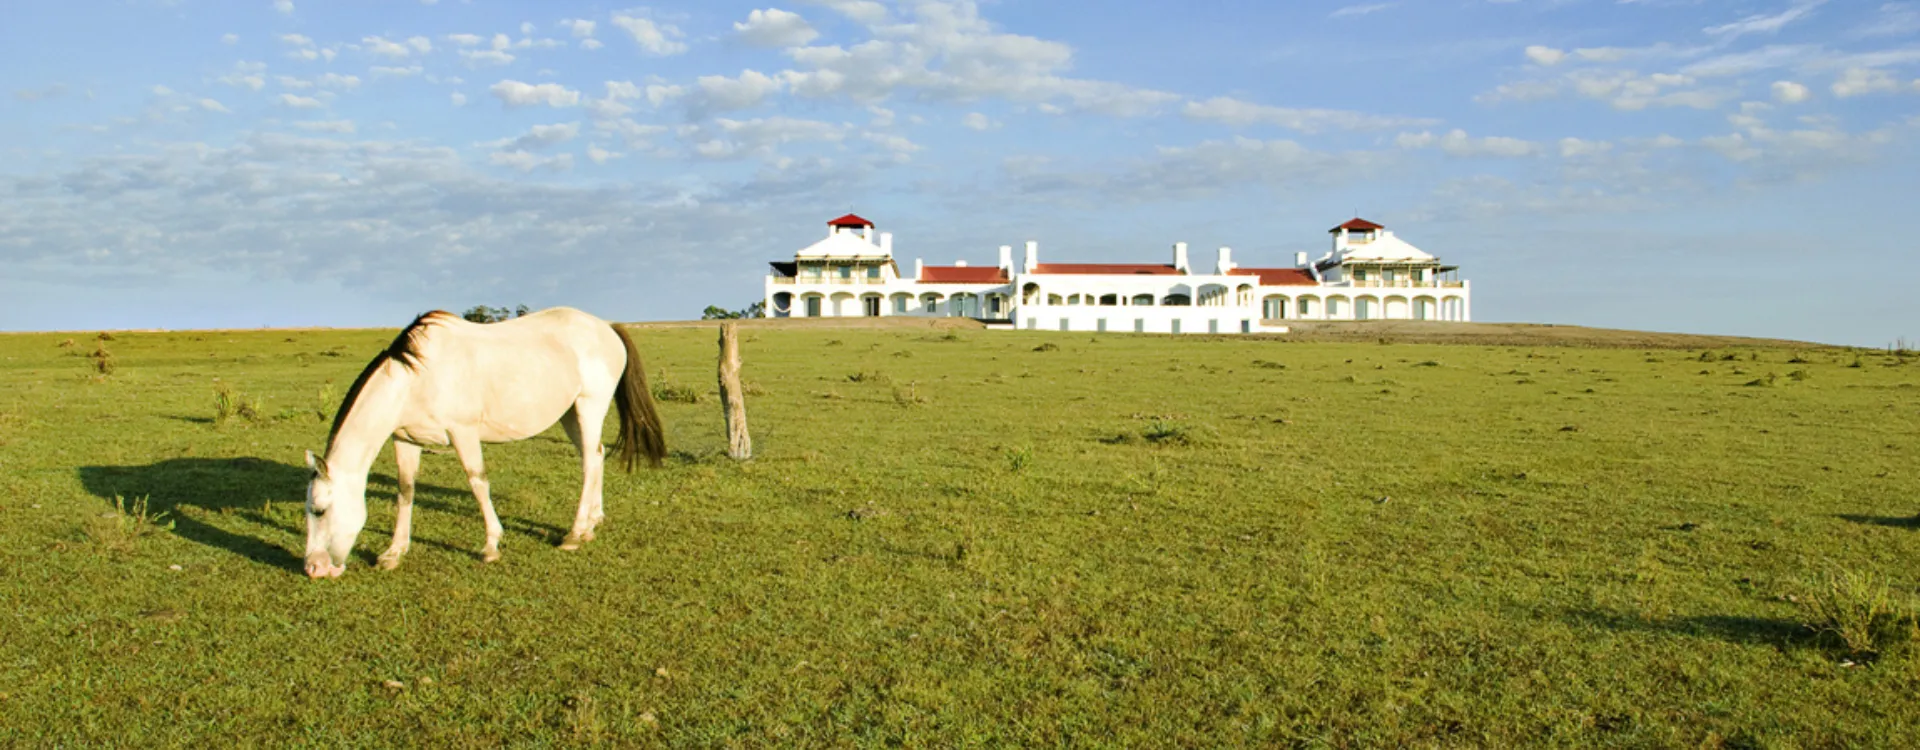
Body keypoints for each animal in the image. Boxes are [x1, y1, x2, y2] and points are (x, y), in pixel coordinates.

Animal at [302, 307, 666, 579]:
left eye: (319, 510)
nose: (313, 569)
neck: (418, 378)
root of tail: (607, 328)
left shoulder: (463, 433)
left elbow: (477, 482)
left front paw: (491, 545)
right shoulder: (405, 440)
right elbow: (405, 491)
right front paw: (394, 552)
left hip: (590, 407)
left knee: (590, 461)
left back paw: (575, 534)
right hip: (570, 414)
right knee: (596, 456)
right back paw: (592, 521)